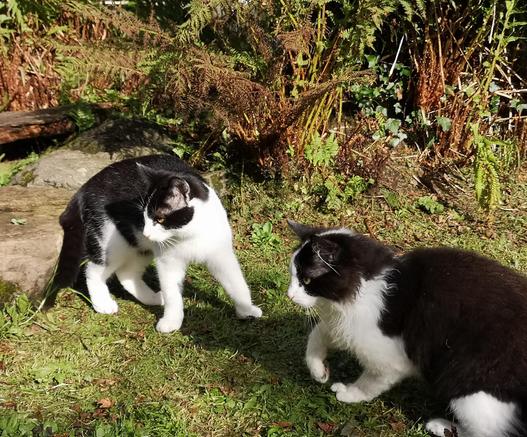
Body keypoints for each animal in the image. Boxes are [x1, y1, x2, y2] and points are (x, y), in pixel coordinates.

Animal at [48, 153, 262, 330]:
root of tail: (83, 189)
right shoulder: (168, 262)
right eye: (144, 216)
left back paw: (152, 298)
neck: (190, 236)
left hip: (140, 247)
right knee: (93, 271)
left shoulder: (221, 255)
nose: (146, 232)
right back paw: (103, 303)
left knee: (126, 274)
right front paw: (171, 322)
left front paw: (247, 309)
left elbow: (237, 282)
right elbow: (172, 293)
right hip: (114, 243)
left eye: (159, 219)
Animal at [286, 221, 527, 436]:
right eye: (293, 276)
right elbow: (317, 336)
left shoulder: (389, 356)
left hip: (472, 394)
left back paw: (442, 426)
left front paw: (350, 394)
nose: (289, 295)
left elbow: (369, 382)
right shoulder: (346, 325)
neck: (364, 285)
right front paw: (318, 370)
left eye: (306, 280)